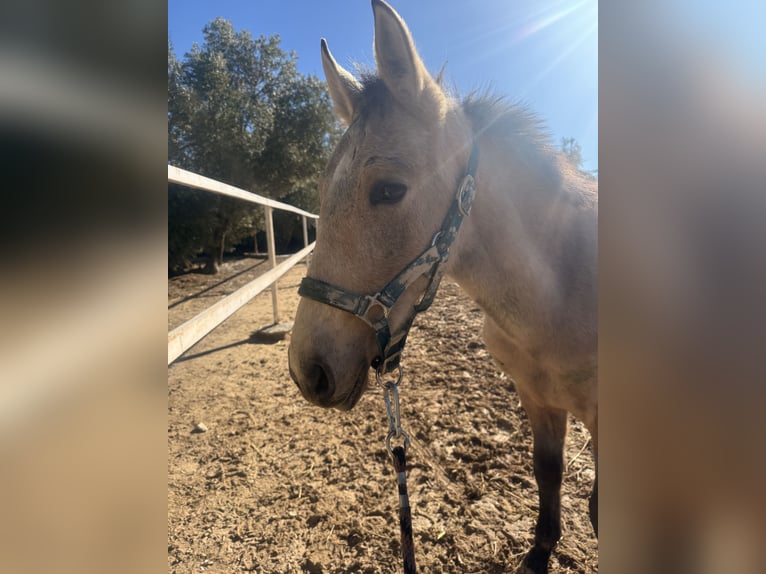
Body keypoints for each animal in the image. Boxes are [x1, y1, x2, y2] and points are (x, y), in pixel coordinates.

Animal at [288, 1, 597, 572]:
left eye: (390, 190)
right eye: (319, 187)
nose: (308, 372)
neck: (561, 289)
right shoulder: (537, 398)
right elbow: (547, 471)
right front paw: (538, 553)